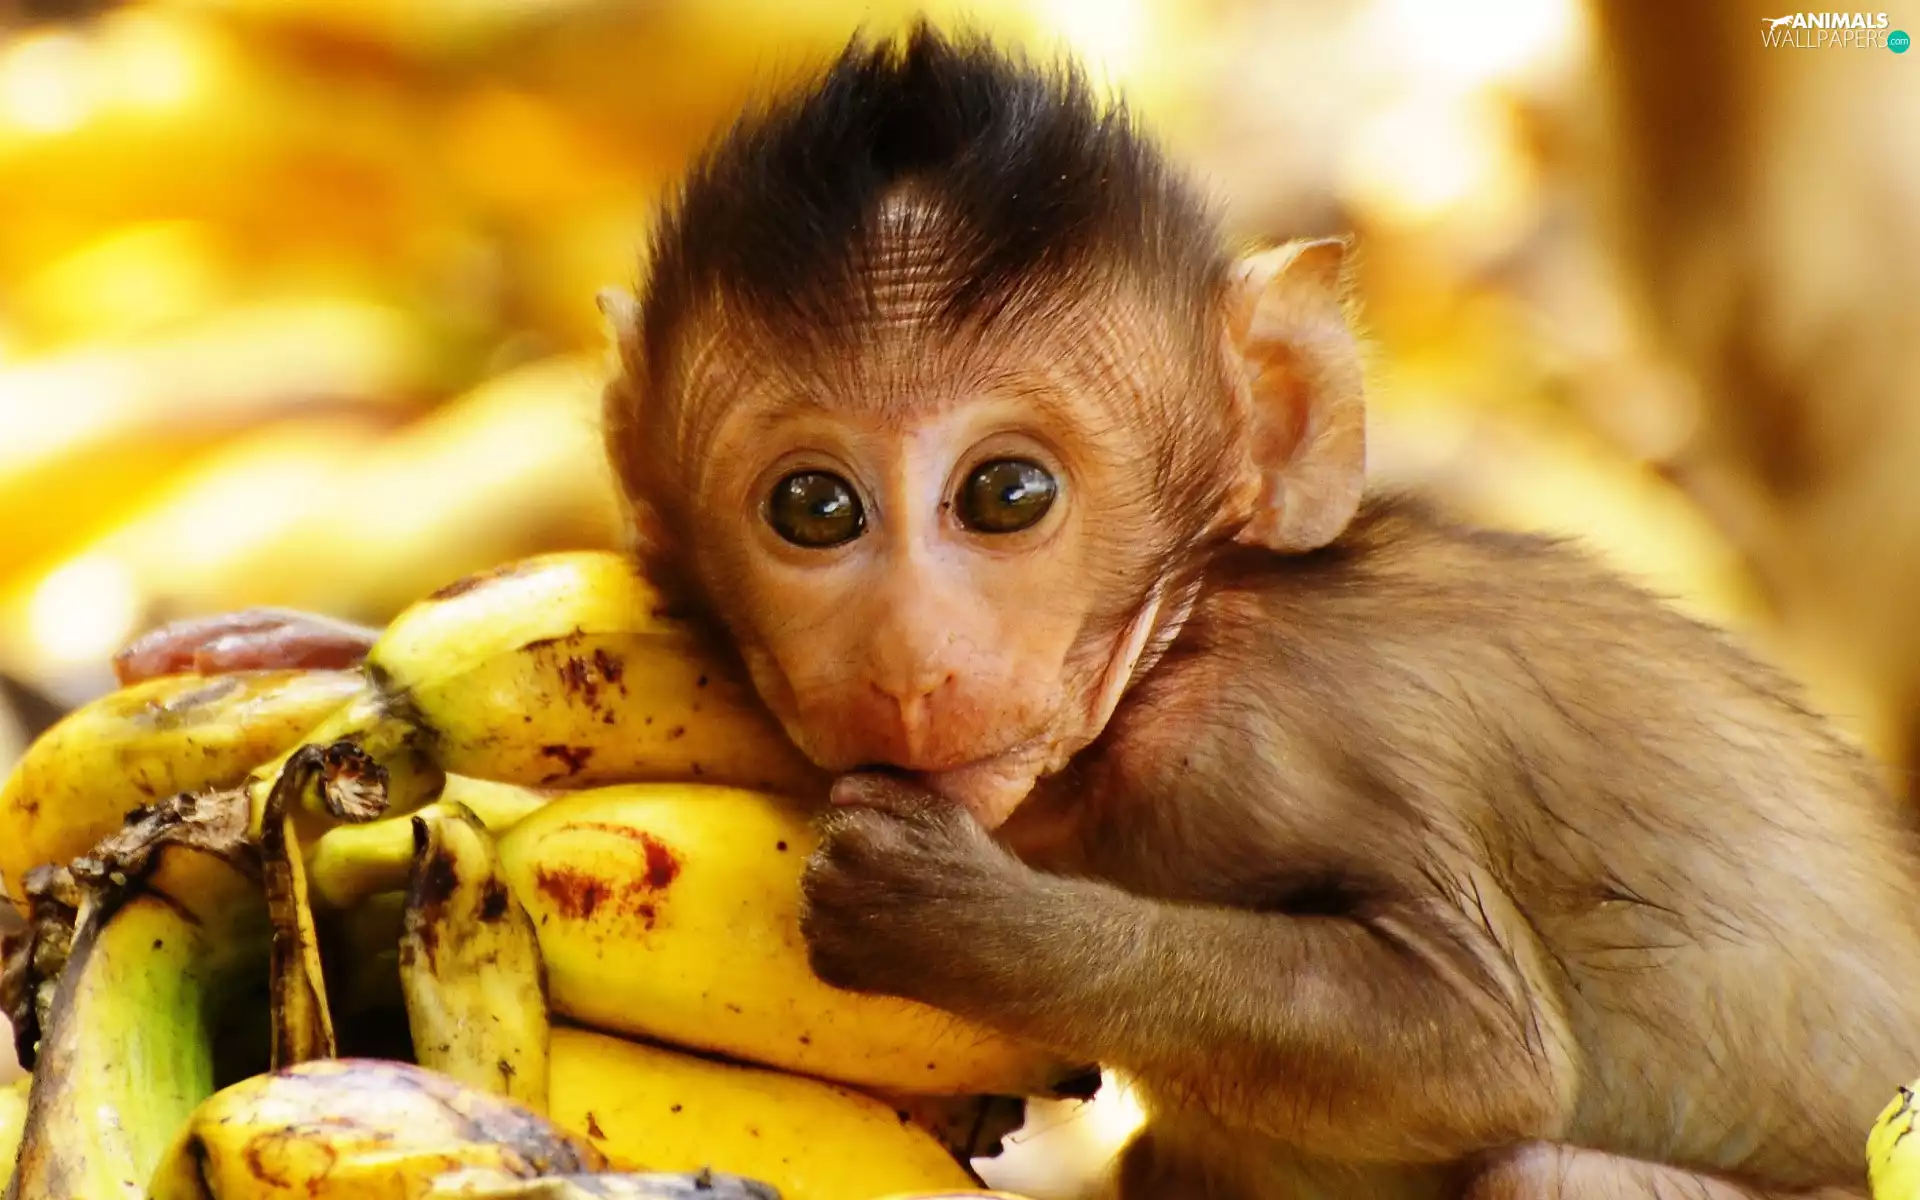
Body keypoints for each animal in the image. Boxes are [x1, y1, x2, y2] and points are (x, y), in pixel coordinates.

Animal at [111, 26, 1920, 1200]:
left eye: (1005, 497)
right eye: (815, 509)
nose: (914, 660)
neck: (1180, 646)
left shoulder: (1290, 739)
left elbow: (1474, 1046)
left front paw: (951, 917)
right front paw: (301, 658)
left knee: (1538, 1170)